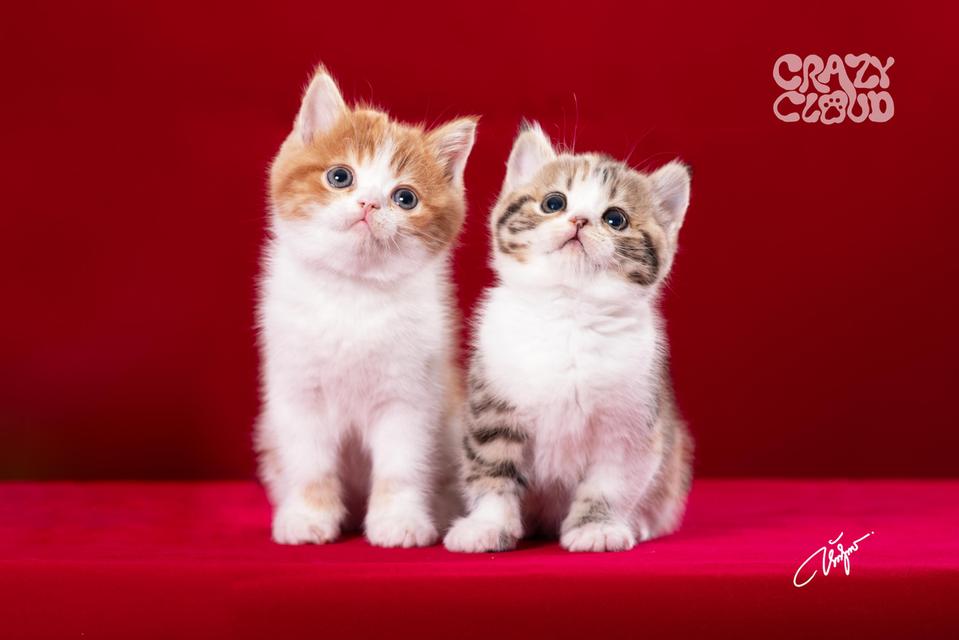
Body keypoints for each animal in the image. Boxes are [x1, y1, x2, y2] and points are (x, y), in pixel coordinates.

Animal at [256, 65, 478, 548]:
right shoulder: (298, 392)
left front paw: (399, 521)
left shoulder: (409, 395)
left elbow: (401, 465)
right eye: (341, 177)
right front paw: (308, 517)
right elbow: (310, 463)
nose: (369, 203)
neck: (353, 292)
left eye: (405, 198)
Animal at [446, 122, 692, 552]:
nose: (579, 220)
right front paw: (487, 525)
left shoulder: (630, 421)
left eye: (615, 219)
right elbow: (492, 469)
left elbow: (609, 483)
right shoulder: (492, 403)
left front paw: (596, 528)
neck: (568, 313)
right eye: (554, 202)